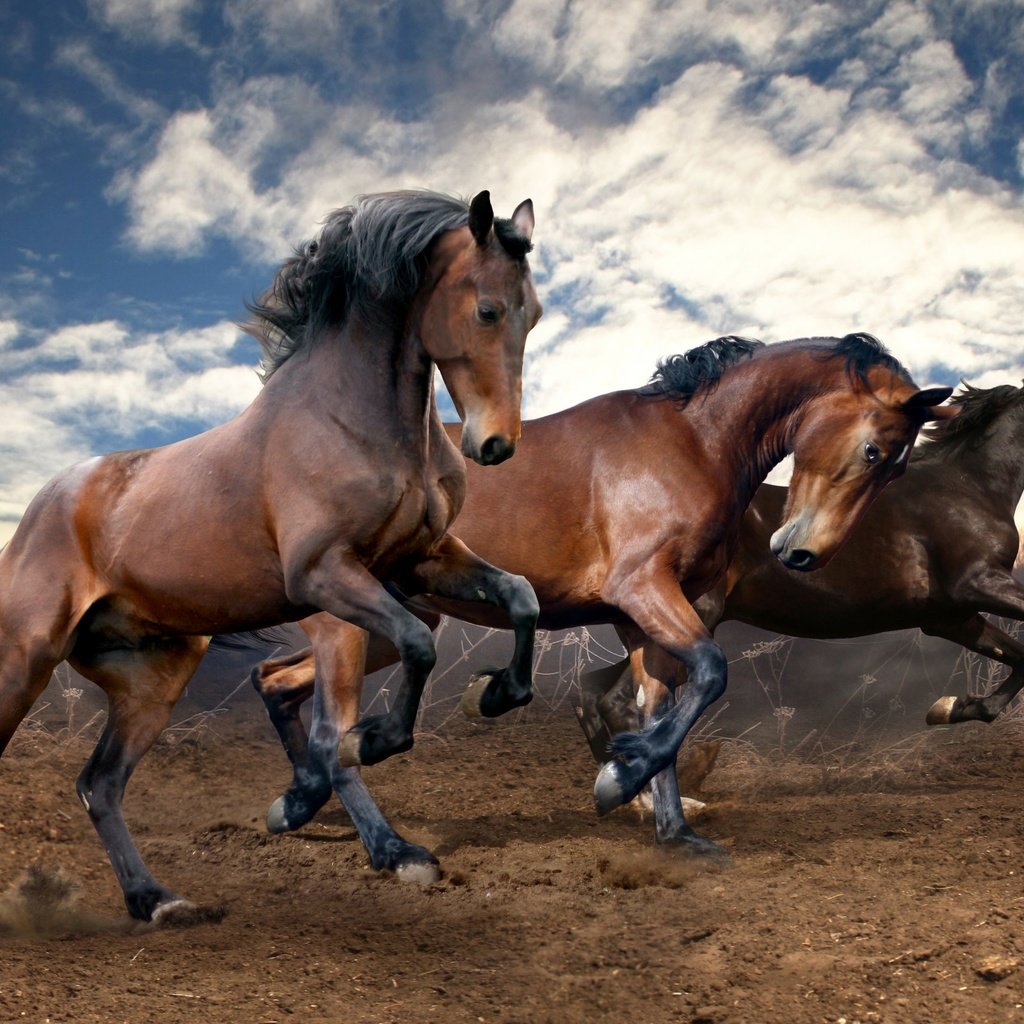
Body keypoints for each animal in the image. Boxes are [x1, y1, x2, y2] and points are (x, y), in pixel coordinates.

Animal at [0, 190, 544, 921]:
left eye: (532, 314)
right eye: (486, 309)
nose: (495, 445)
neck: (351, 420)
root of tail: (46, 500)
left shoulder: (421, 560)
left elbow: (519, 596)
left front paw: (497, 694)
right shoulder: (324, 576)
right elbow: (404, 662)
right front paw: (377, 772)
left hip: (153, 677)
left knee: (100, 784)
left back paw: (156, 900)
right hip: (26, 658)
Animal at [249, 331, 950, 876]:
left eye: (893, 469)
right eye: (873, 451)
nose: (803, 554)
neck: (694, 442)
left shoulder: (645, 617)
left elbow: (662, 705)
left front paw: (672, 828)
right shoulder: (642, 589)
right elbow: (710, 673)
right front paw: (619, 780)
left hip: (397, 624)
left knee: (276, 682)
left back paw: (297, 803)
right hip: (349, 627)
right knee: (330, 732)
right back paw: (393, 851)